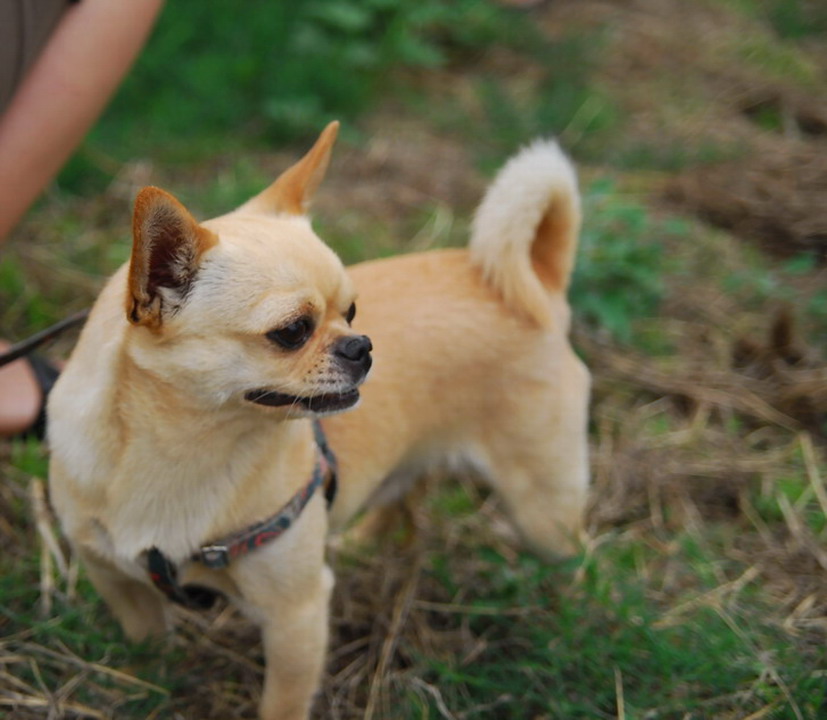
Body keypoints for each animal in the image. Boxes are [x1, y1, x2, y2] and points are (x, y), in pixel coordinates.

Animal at [47, 121, 588, 716]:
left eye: (351, 311)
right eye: (291, 331)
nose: (363, 346)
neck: (182, 449)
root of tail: (538, 283)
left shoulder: (295, 616)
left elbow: (281, 702)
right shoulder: (115, 580)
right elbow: (148, 642)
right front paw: (152, 682)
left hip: (542, 509)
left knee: (573, 557)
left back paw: (569, 622)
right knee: (405, 493)